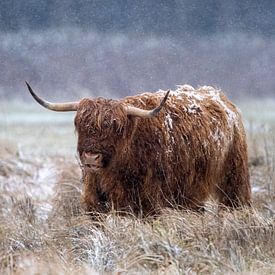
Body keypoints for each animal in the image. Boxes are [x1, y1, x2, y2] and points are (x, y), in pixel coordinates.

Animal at [25, 83, 252, 217]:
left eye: (115, 128)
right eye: (80, 125)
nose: (91, 157)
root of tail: (222, 98)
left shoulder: (149, 201)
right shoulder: (95, 200)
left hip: (234, 175)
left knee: (235, 200)